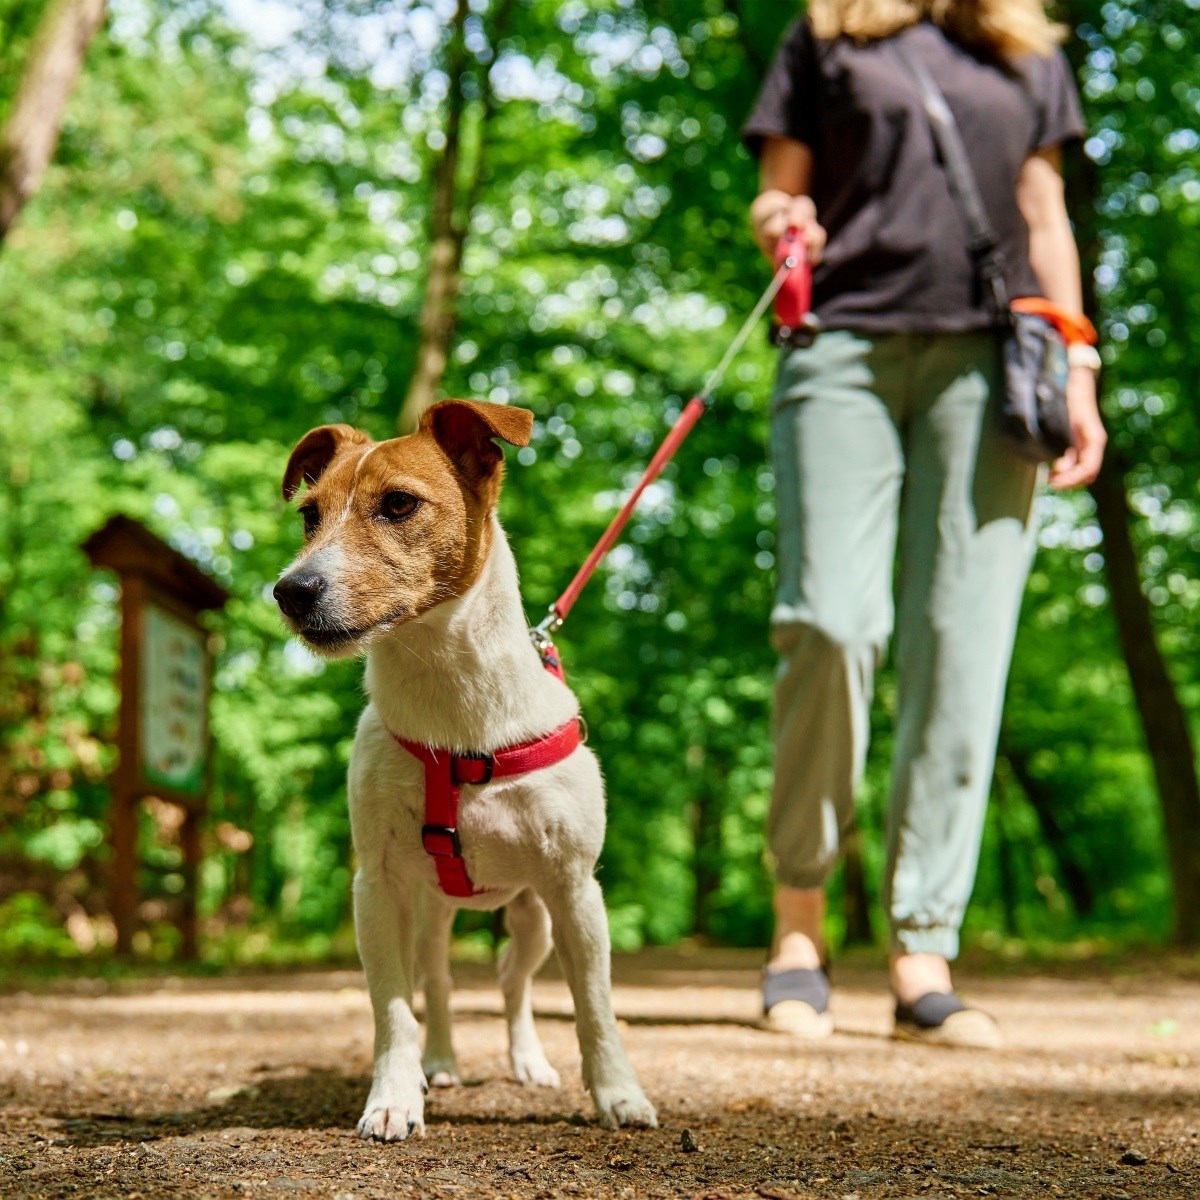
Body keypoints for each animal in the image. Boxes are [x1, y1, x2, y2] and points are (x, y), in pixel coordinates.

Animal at [273, 398, 657, 1137]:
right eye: (310, 513)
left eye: (398, 504)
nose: (290, 590)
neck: (454, 710)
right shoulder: (377, 889)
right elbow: (393, 1010)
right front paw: (395, 1097)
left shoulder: (576, 891)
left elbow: (595, 1008)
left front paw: (619, 1094)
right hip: (430, 912)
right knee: (441, 980)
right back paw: (442, 1062)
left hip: (537, 917)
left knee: (512, 979)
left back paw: (528, 1061)